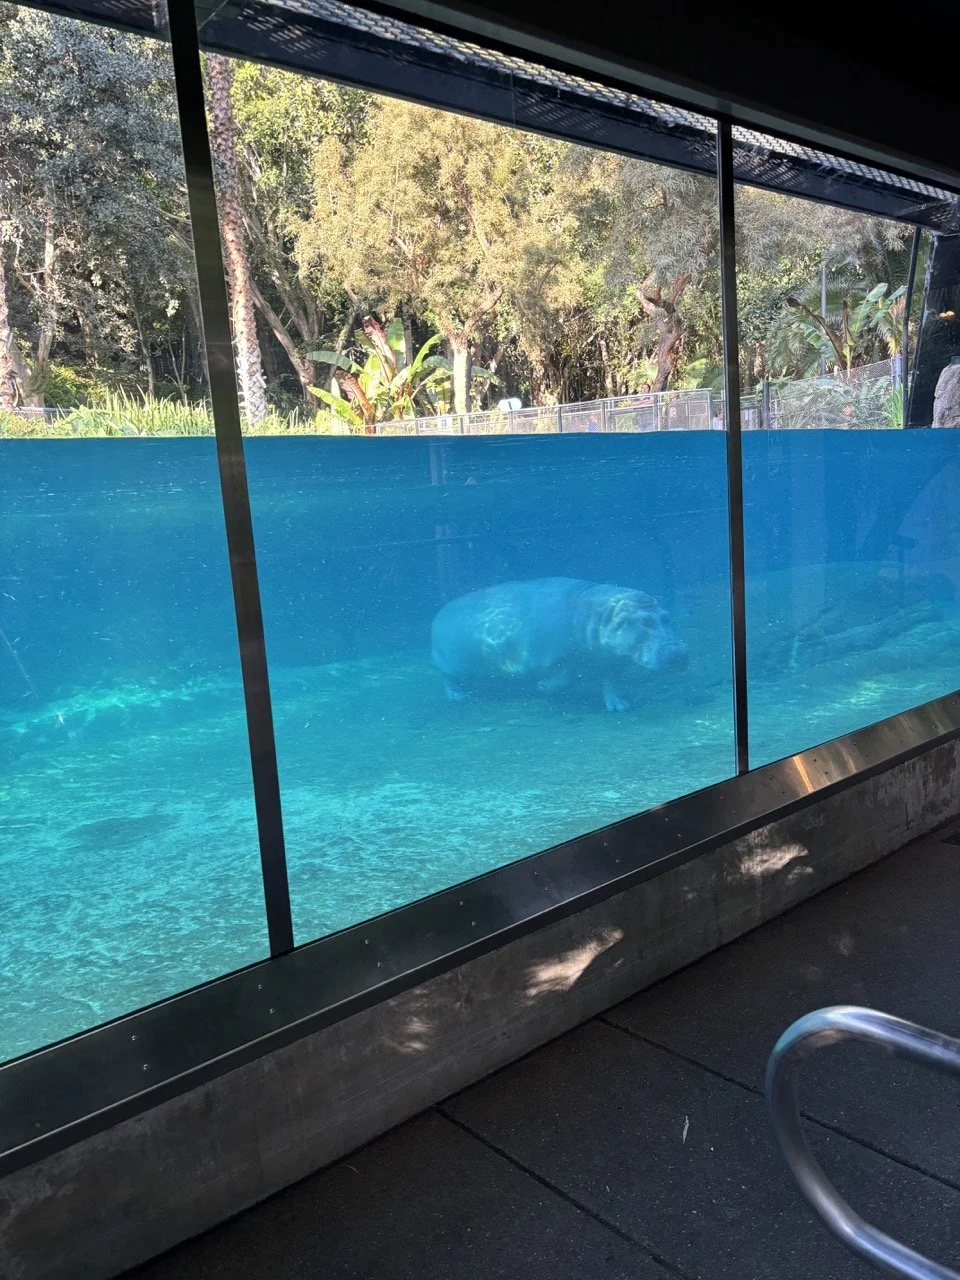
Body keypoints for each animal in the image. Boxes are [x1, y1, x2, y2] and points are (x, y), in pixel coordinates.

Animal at [431, 577, 688, 712]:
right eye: (645, 621)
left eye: (666, 616)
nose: (679, 653)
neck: (601, 616)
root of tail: (438, 614)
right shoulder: (551, 655)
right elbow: (565, 676)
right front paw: (543, 686)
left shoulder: (608, 659)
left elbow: (611, 681)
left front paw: (620, 706)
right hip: (451, 663)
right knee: (447, 678)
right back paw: (459, 697)